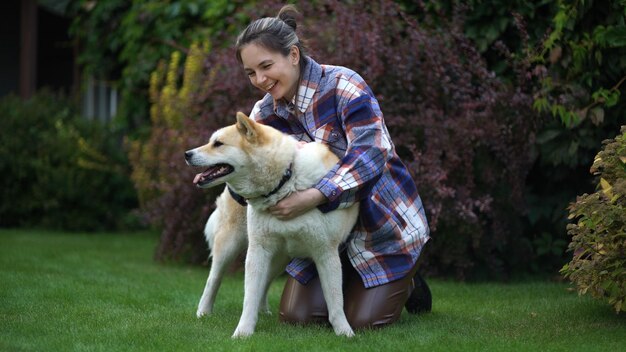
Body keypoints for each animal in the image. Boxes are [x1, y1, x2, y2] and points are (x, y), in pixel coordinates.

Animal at [185, 113, 358, 338]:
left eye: (218, 143)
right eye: (211, 141)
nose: (187, 154)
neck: (286, 182)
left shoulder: (326, 253)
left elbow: (336, 302)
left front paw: (345, 333)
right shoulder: (258, 250)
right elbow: (249, 297)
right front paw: (243, 333)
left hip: (278, 258)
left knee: (264, 282)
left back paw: (263, 311)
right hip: (230, 247)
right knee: (213, 280)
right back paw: (203, 312)